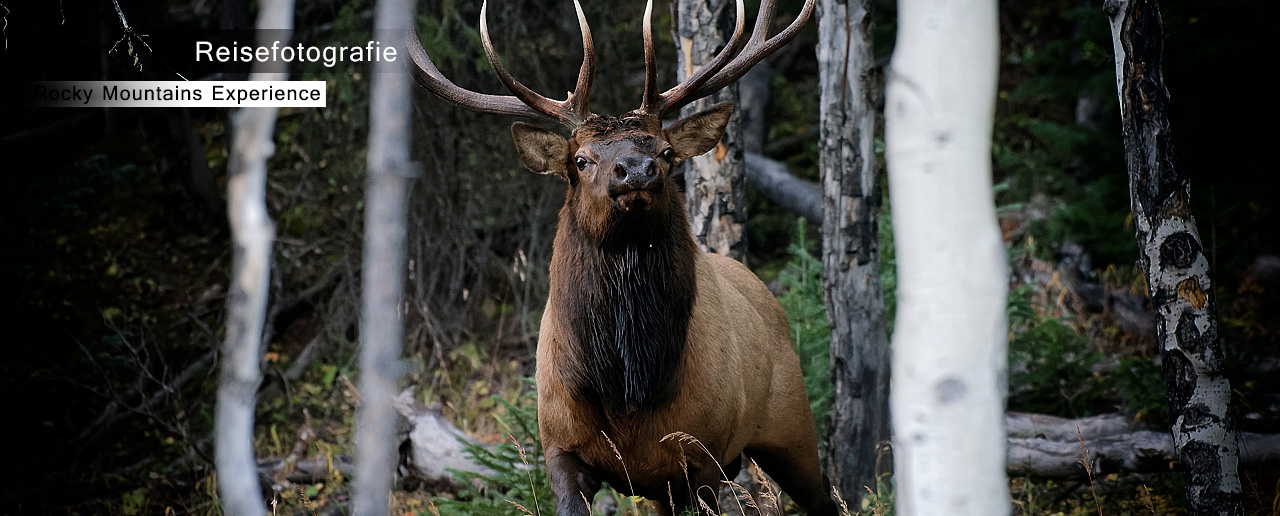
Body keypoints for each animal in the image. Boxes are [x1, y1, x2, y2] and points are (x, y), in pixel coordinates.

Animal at [404, 2, 834, 514]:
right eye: (581, 159)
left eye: (666, 151)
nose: (637, 169)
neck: (629, 392)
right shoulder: (561, 447)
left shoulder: (702, 457)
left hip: (790, 424)